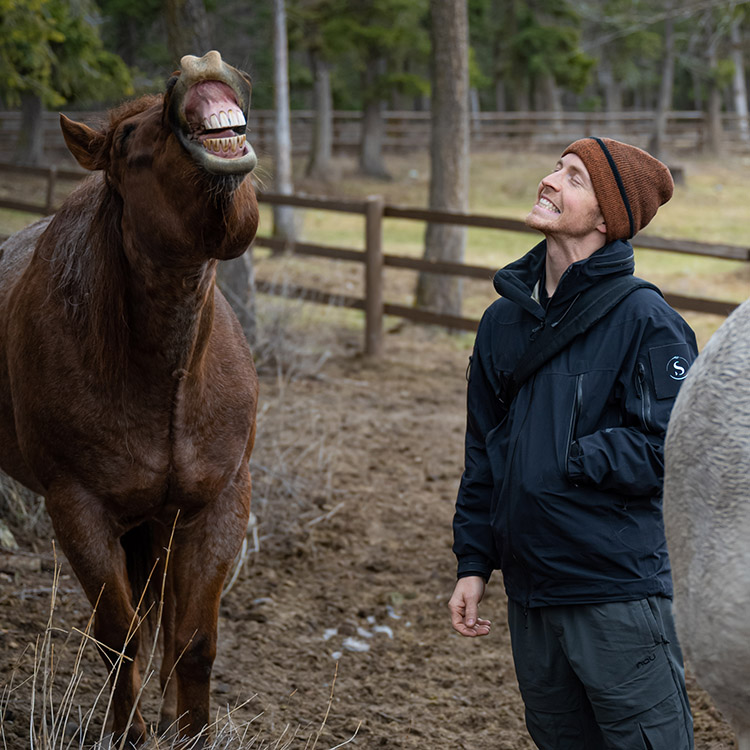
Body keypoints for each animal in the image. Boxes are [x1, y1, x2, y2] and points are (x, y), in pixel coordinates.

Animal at [0, 53, 262, 748]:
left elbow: (192, 638)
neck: (165, 376)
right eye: (121, 140)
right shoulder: (78, 508)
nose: (199, 64)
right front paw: (128, 733)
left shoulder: (218, 502)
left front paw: (188, 728)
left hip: (161, 517)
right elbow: (118, 636)